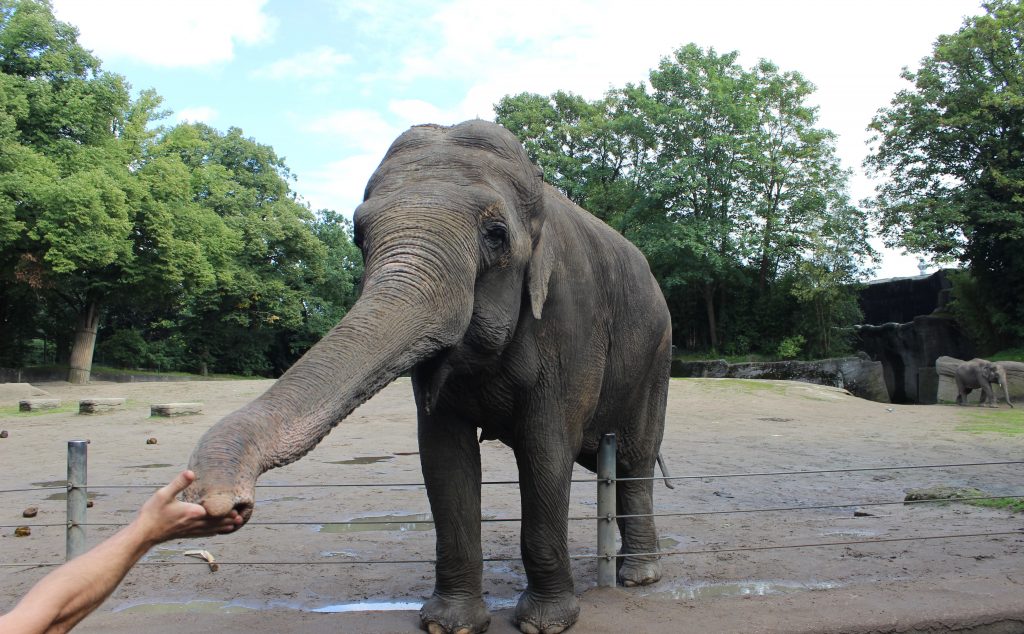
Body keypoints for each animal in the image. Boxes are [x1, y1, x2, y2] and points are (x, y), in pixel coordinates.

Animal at [185, 120, 675, 634]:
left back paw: (639, 576)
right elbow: (442, 456)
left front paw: (545, 624)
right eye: (359, 236)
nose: (223, 502)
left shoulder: (570, 322)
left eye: (496, 235)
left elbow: (545, 449)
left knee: (636, 461)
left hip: (657, 358)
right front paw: (449, 624)